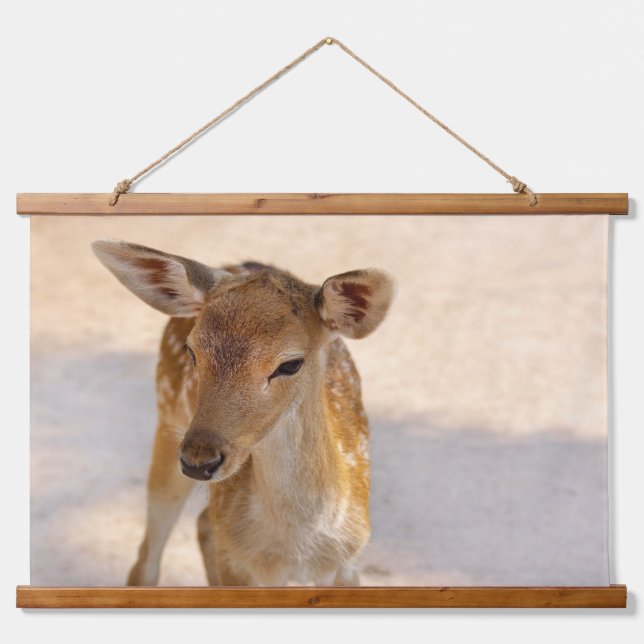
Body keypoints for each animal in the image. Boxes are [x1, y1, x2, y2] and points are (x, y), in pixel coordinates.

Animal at [92, 239, 395, 586]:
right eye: (192, 350)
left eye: (290, 364)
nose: (199, 460)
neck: (295, 550)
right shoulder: (239, 565)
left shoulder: (347, 562)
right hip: (167, 419)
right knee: (147, 559)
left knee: (203, 523)